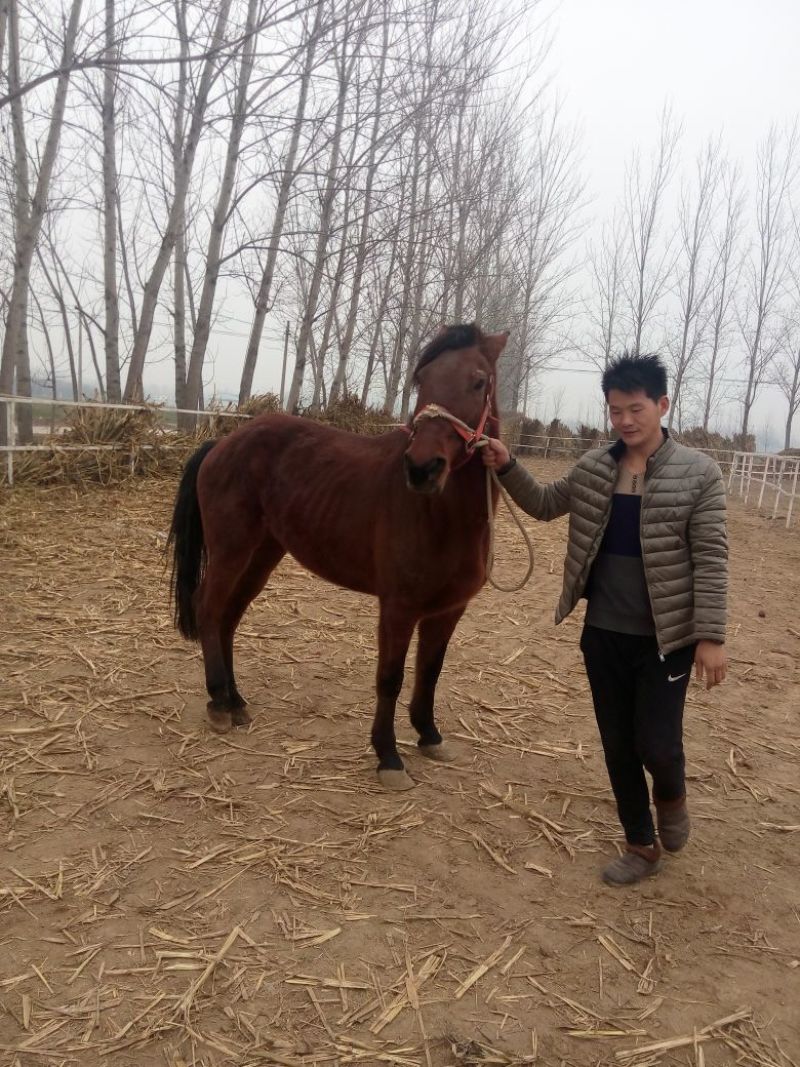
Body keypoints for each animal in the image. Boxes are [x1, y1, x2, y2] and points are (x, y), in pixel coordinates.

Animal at [167, 323, 508, 789]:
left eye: (479, 381)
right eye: (422, 380)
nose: (422, 469)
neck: (441, 514)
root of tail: (223, 442)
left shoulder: (448, 610)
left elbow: (430, 671)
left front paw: (429, 735)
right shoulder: (398, 608)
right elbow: (390, 678)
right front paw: (388, 756)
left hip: (262, 556)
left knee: (227, 618)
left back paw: (235, 702)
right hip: (231, 550)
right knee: (208, 608)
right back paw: (219, 702)